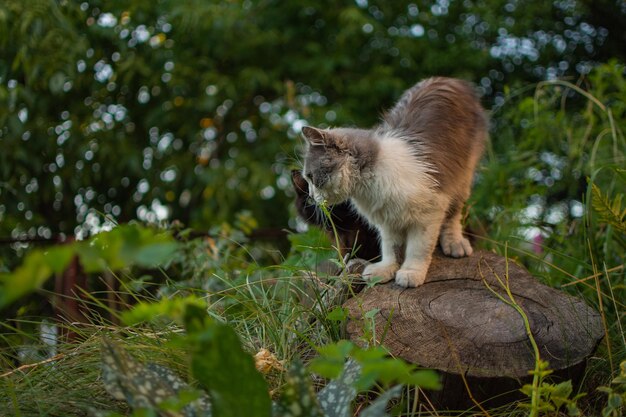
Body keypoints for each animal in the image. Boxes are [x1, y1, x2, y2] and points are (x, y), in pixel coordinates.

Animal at [300, 76, 486, 286]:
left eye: (311, 177)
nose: (311, 196)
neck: (369, 187)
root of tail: (450, 79)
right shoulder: (388, 219)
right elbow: (391, 248)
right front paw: (386, 270)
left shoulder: (430, 211)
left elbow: (418, 247)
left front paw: (411, 272)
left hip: (462, 176)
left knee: (454, 214)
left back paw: (455, 243)